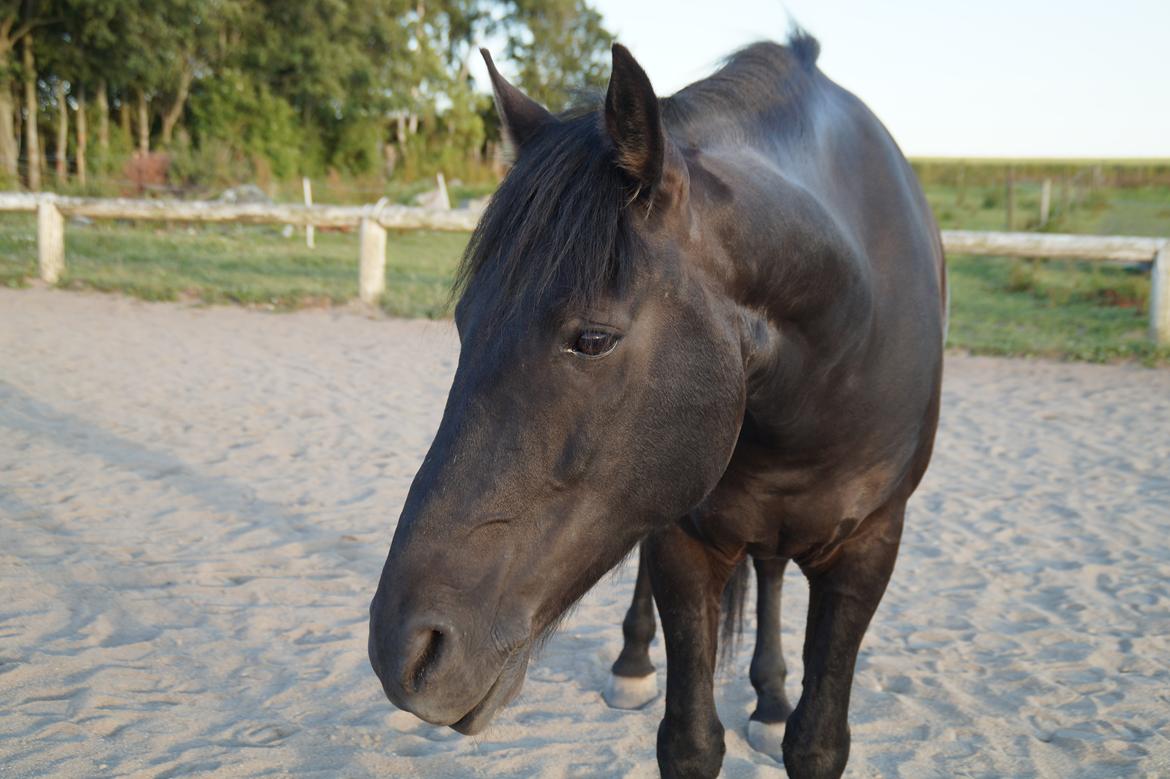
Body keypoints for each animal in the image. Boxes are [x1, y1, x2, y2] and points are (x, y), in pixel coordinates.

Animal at [369, 34, 945, 776]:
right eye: (465, 324)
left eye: (593, 338)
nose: (405, 649)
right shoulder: (683, 539)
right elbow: (689, 739)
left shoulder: (870, 546)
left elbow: (818, 742)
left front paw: (783, 707)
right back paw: (635, 662)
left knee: (770, 569)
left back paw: (770, 697)